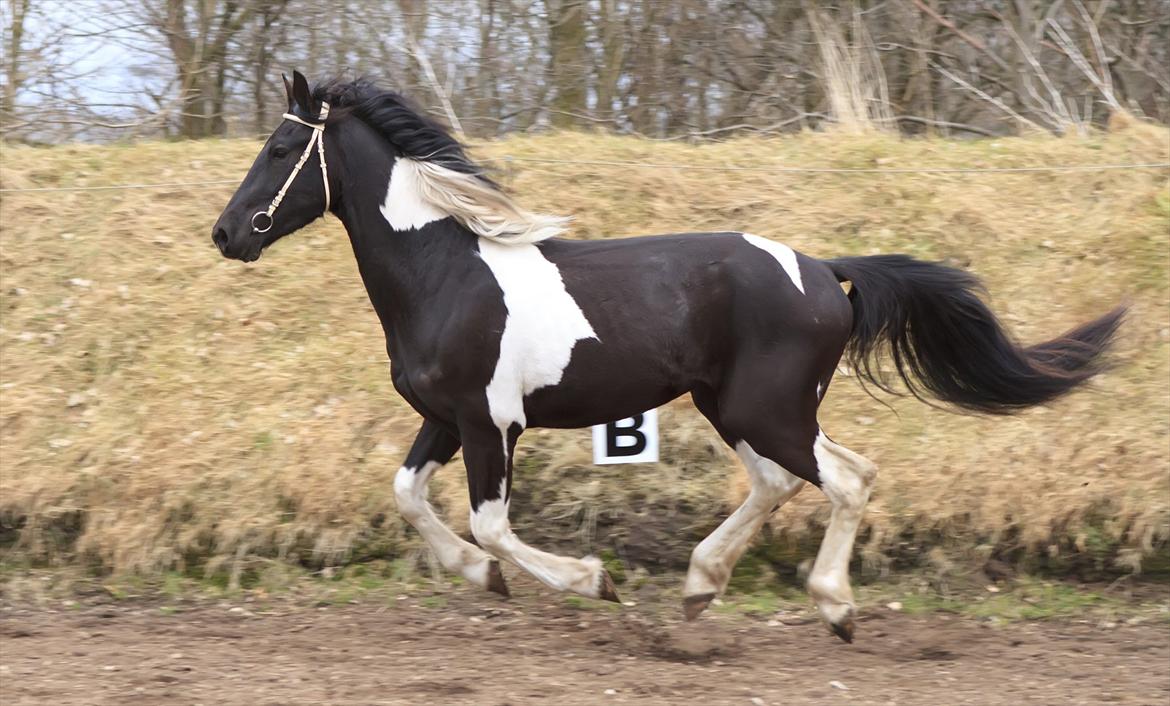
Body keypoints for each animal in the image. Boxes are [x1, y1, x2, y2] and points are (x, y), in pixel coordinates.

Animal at [210, 73, 1123, 646]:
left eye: (278, 150)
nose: (226, 234)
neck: (447, 273)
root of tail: (824, 270)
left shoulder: (488, 422)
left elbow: (492, 523)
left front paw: (592, 581)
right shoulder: (445, 416)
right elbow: (408, 495)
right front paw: (478, 578)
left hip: (767, 408)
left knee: (845, 478)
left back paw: (834, 609)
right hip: (738, 407)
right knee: (786, 481)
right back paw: (700, 586)